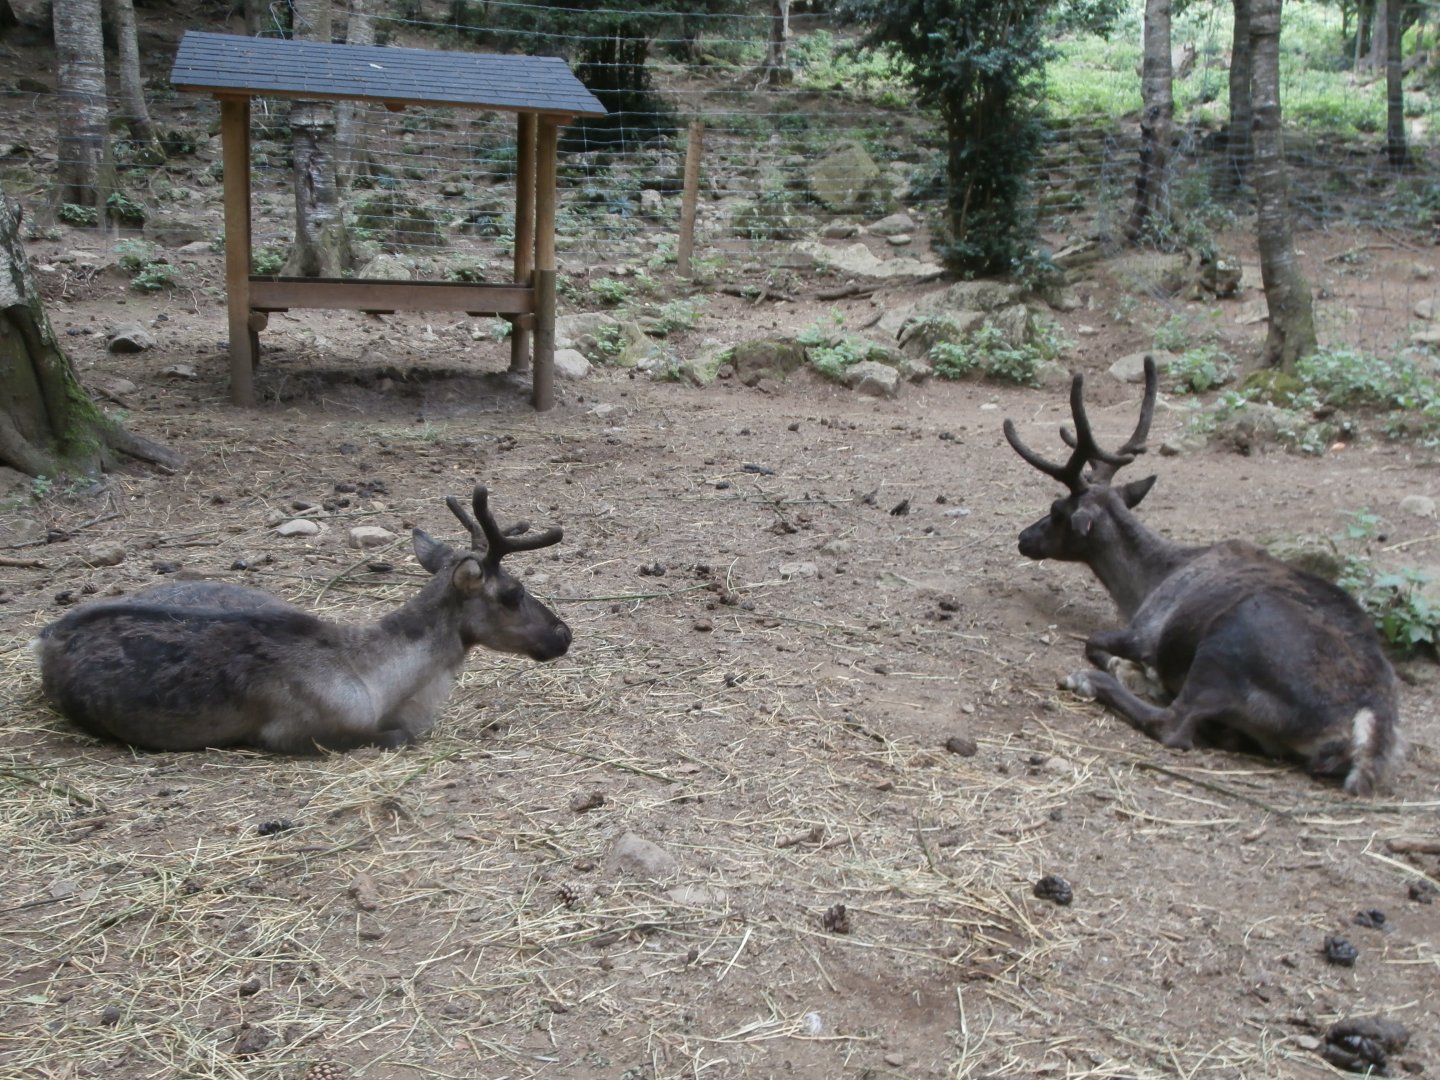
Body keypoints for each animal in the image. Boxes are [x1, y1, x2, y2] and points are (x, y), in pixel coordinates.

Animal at [32, 485, 572, 754]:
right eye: (512, 593)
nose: (563, 633)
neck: (382, 681)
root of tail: (45, 634)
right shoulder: (290, 732)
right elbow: (400, 736)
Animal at [1004, 357, 1402, 795]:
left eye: (1056, 509)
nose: (1024, 537)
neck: (1145, 584)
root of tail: (1368, 723)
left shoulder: (1146, 631)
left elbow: (1096, 641)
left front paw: (1131, 670)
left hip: (1228, 642)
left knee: (1174, 725)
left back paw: (1096, 681)